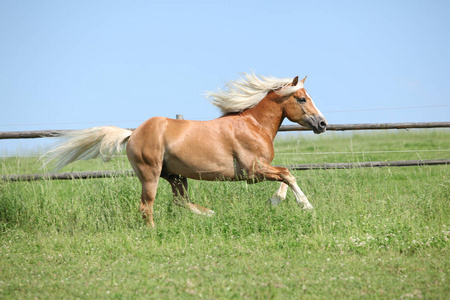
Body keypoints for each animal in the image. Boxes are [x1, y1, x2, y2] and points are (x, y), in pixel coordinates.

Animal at [44, 73, 326, 227]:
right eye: (302, 98)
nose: (322, 124)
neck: (253, 125)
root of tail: (133, 133)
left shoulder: (259, 170)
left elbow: (285, 177)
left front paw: (275, 202)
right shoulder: (252, 171)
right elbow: (287, 174)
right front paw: (306, 206)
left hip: (176, 176)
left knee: (180, 201)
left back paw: (210, 214)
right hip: (150, 175)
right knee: (146, 206)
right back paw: (155, 231)